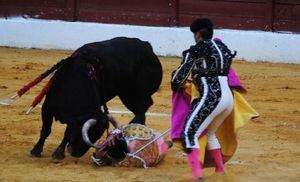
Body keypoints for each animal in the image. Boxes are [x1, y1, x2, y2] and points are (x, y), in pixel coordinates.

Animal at [29, 37, 163, 159]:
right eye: (89, 133)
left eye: (97, 135)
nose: (77, 153)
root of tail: (147, 46)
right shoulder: (48, 106)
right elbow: (46, 130)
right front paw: (36, 150)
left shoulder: (71, 118)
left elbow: (66, 133)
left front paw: (58, 152)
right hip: (128, 95)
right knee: (143, 108)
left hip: (134, 94)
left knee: (144, 107)